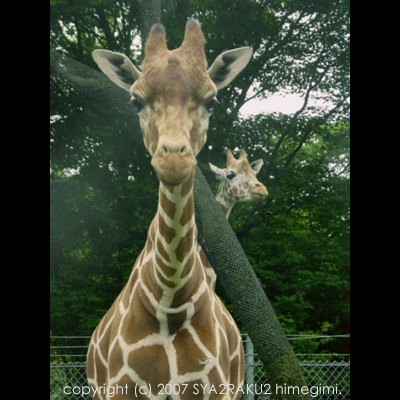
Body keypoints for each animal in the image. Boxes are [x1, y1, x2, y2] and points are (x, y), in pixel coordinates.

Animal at [87, 20, 253, 400]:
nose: (174, 159)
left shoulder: (215, 391)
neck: (170, 297)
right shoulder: (119, 390)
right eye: (135, 101)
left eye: (212, 101)